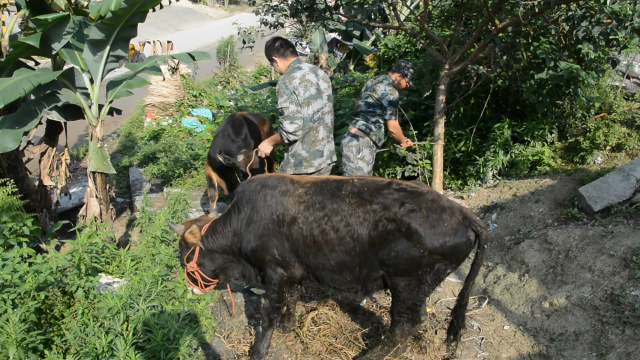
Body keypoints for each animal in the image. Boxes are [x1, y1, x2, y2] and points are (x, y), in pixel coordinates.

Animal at [170, 173, 484, 358]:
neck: (245, 221)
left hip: (407, 286)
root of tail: (464, 214)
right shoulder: (292, 271)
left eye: (186, 254)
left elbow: (269, 314)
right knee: (414, 323)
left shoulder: (275, 273)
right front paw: (288, 326)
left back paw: (370, 356)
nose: (189, 286)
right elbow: (292, 299)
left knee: (402, 327)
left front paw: (258, 350)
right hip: (418, 289)